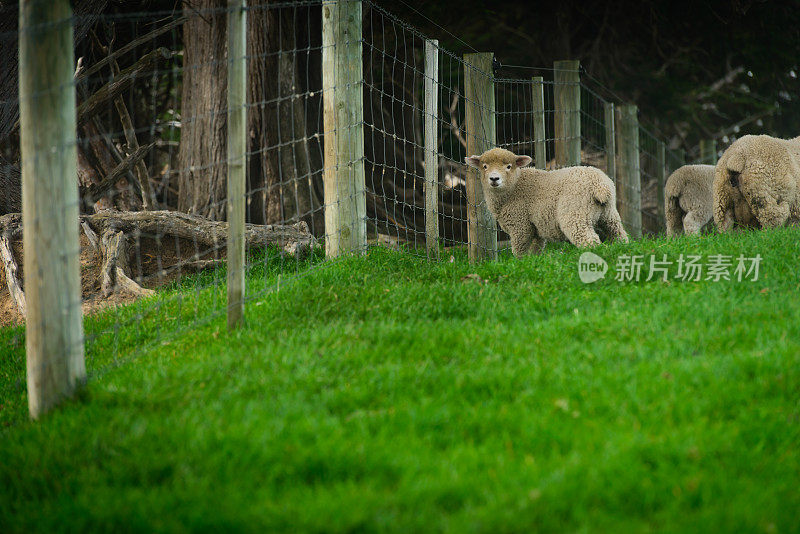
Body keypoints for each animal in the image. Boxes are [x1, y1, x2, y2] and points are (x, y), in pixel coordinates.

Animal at [466, 148, 628, 258]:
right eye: (484, 166)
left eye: (508, 166)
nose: (494, 179)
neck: (514, 187)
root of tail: (600, 185)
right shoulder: (535, 228)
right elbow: (536, 249)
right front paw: (533, 262)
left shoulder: (520, 225)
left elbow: (519, 251)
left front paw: (520, 264)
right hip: (609, 214)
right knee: (619, 234)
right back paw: (623, 249)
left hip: (575, 212)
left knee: (590, 240)